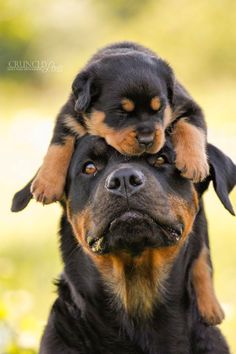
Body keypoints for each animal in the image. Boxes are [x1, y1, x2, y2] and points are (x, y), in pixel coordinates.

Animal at [30, 42, 208, 207]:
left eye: (159, 108)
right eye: (120, 112)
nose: (147, 139)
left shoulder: (188, 106)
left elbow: (191, 129)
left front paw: (194, 164)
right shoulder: (69, 114)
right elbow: (58, 146)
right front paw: (46, 184)